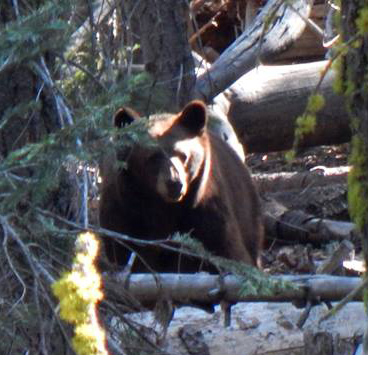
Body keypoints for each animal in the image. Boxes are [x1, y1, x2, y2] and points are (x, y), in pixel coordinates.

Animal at [97, 99, 262, 274]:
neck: (165, 206)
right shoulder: (124, 210)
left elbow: (229, 250)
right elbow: (125, 250)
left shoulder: (204, 207)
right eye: (153, 157)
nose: (175, 183)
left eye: (183, 155)